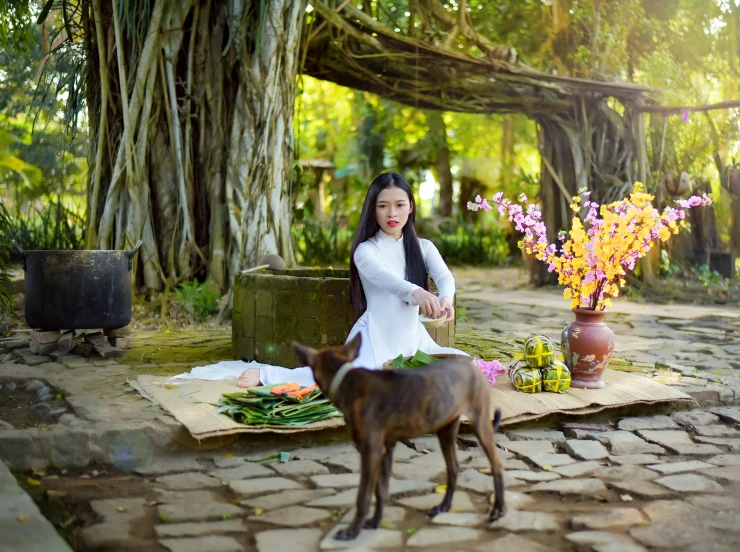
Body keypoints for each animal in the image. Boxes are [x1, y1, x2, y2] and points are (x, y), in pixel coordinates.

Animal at [292, 334, 506, 540]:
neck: (347, 379)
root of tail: (474, 366)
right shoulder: (386, 448)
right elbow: (381, 490)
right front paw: (375, 522)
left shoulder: (371, 450)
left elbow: (363, 495)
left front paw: (352, 531)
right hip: (445, 429)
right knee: (453, 468)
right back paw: (443, 506)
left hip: (480, 422)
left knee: (496, 464)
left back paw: (498, 510)